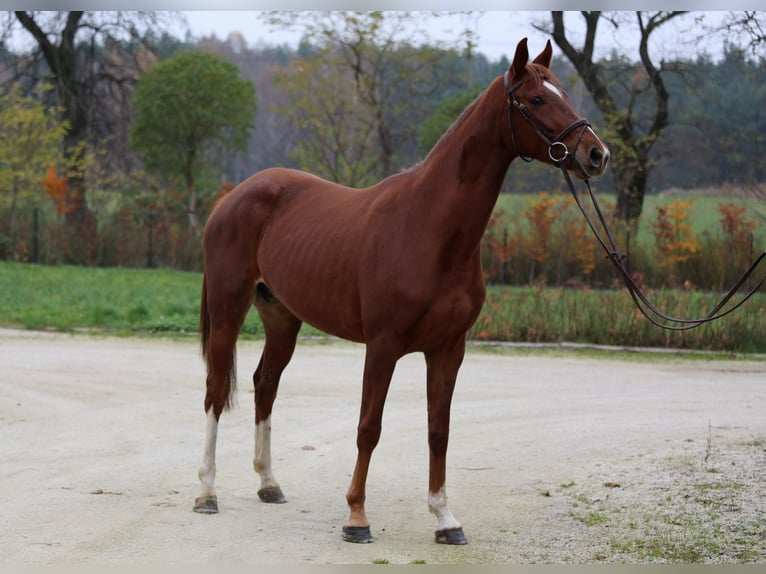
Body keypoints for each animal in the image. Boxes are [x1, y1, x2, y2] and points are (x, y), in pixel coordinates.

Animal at [194, 39, 612, 544]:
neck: (430, 228)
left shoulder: (449, 348)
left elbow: (439, 431)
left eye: (564, 93)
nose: (597, 154)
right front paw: (356, 517)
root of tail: (233, 197)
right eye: (536, 99)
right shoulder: (383, 345)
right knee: (216, 391)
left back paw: (269, 484)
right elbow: (369, 427)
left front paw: (445, 519)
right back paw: (207, 493)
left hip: (282, 319)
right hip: (228, 310)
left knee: (264, 385)